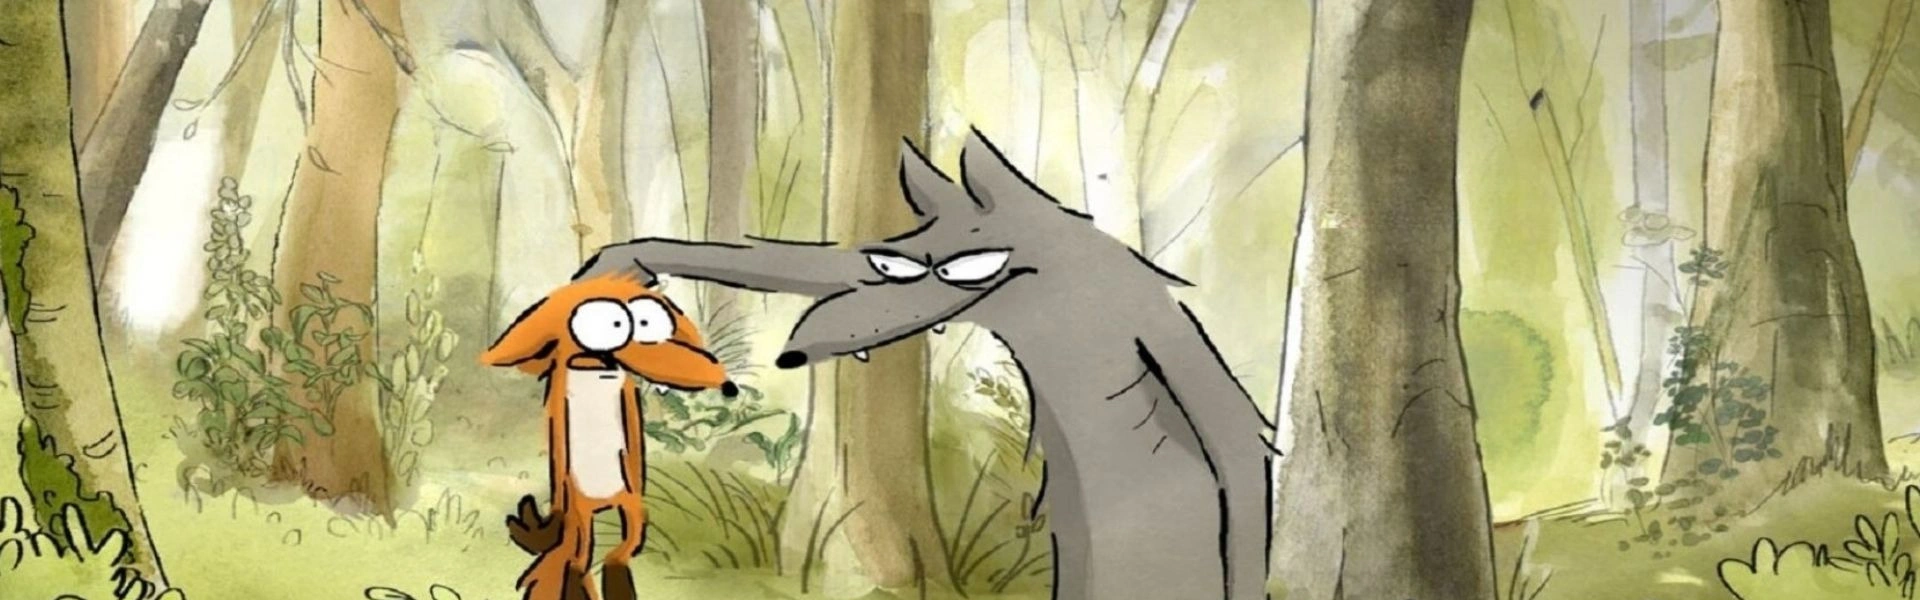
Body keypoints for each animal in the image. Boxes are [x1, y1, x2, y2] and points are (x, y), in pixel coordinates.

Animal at [481, 273, 735, 600]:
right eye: (612, 325)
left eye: (648, 323)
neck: (594, 369)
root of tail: (602, 502)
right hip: (581, 505)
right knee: (580, 555)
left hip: (628, 501)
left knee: (620, 548)